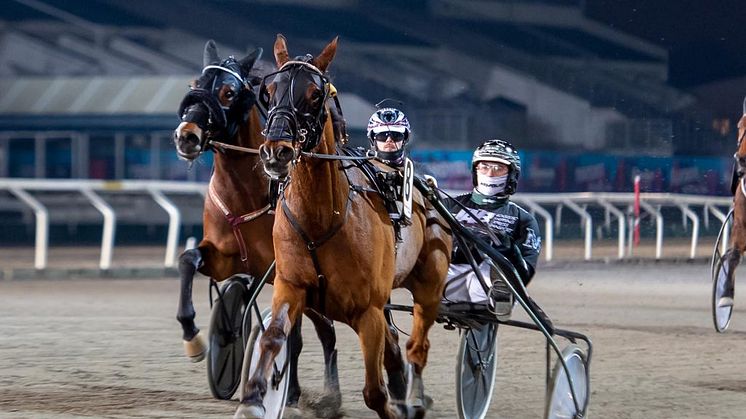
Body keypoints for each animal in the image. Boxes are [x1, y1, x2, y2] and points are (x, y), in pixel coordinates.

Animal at [171, 40, 338, 410]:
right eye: (195, 84)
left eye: (229, 92)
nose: (186, 137)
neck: (246, 197)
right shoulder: (223, 257)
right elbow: (188, 260)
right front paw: (195, 339)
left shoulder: (284, 271)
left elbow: (291, 336)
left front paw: (286, 389)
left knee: (327, 333)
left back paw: (326, 394)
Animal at [235, 35, 450, 419]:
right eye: (270, 90)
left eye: (314, 94)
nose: (276, 152)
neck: (323, 221)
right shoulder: (290, 285)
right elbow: (273, 337)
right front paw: (255, 398)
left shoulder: (368, 312)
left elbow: (374, 392)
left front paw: (394, 405)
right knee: (396, 349)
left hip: (429, 287)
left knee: (415, 347)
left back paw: (412, 398)